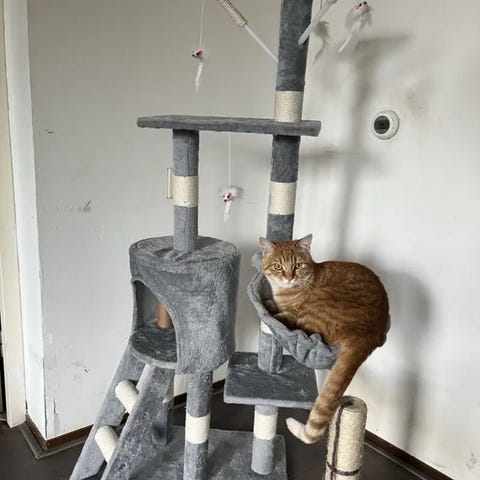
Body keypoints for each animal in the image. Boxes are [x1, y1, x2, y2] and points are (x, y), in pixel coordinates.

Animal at [259, 234, 389, 444]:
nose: (289, 278)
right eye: (278, 266)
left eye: (298, 265)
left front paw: (269, 310)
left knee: (304, 330)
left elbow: (282, 315)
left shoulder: (294, 314)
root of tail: (367, 333)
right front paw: (271, 303)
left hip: (315, 307)